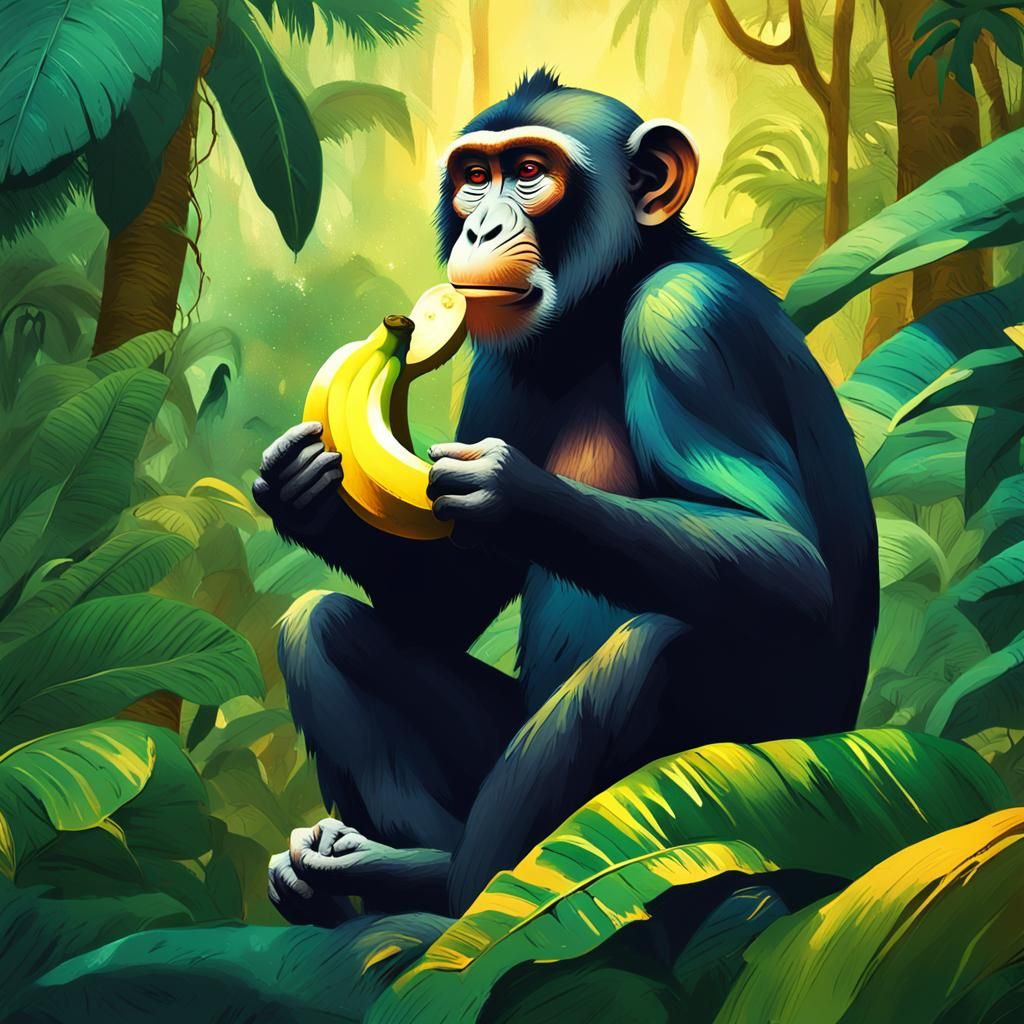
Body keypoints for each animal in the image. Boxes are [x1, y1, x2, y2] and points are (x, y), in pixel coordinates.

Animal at [253, 70, 879, 923]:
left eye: (529, 173)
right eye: (473, 177)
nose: (481, 226)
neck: (603, 306)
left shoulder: (688, 321)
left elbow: (790, 561)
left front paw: (503, 488)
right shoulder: (497, 365)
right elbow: (447, 603)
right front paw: (299, 487)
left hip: (778, 789)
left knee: (653, 646)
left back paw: (429, 882)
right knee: (316, 628)